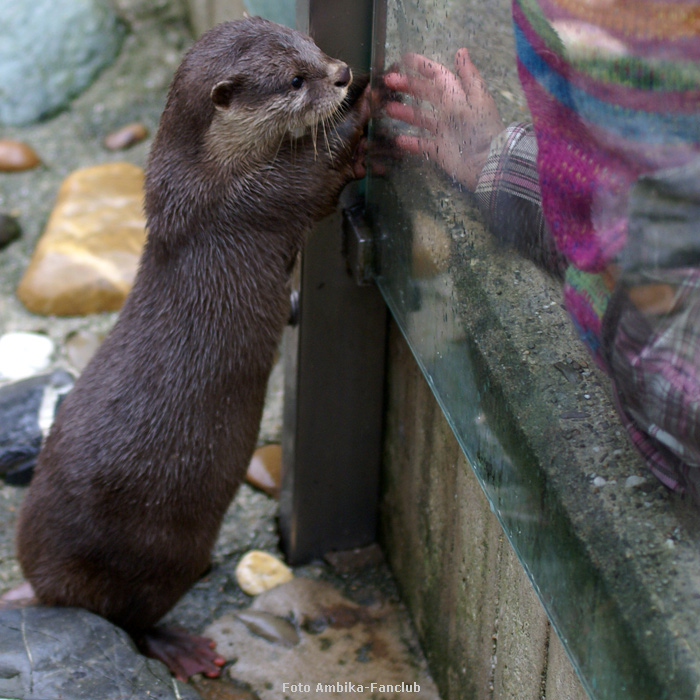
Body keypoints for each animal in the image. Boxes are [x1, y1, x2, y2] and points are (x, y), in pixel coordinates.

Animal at [13, 16, 370, 680]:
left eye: (312, 46)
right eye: (294, 79)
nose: (341, 74)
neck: (203, 176)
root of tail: (43, 586)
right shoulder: (245, 201)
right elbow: (313, 177)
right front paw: (366, 107)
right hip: (152, 556)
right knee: (127, 617)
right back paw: (182, 647)